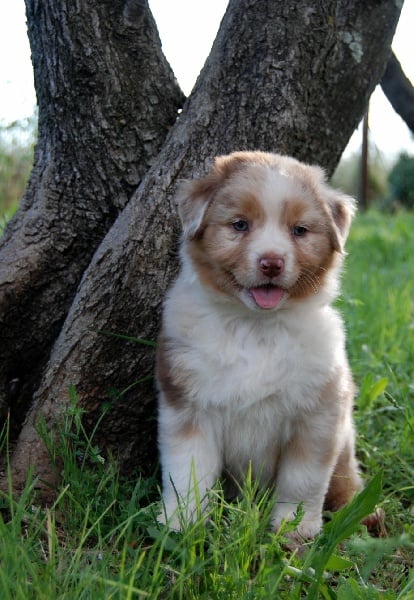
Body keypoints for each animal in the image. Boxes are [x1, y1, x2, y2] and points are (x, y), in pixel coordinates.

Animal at [157, 152, 360, 536]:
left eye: (299, 230)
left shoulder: (318, 415)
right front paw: (181, 523)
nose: (272, 263)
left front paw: (294, 531)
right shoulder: (188, 406)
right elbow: (189, 470)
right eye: (239, 225)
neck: (255, 326)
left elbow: (302, 480)